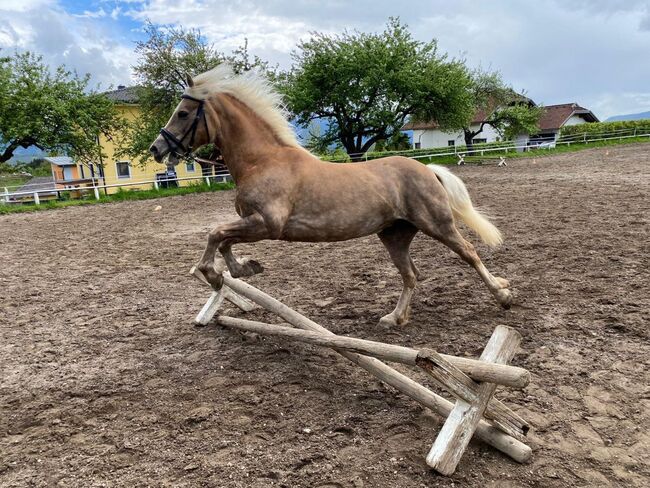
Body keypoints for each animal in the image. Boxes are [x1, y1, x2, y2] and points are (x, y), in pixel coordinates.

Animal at [149, 63, 508, 324]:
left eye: (183, 113)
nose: (157, 148)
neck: (263, 161)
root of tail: (428, 170)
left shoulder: (266, 224)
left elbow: (215, 234)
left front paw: (217, 275)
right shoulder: (253, 223)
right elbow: (223, 240)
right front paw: (243, 269)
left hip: (437, 224)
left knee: (468, 253)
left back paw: (502, 295)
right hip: (394, 234)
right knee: (410, 275)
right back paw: (394, 318)